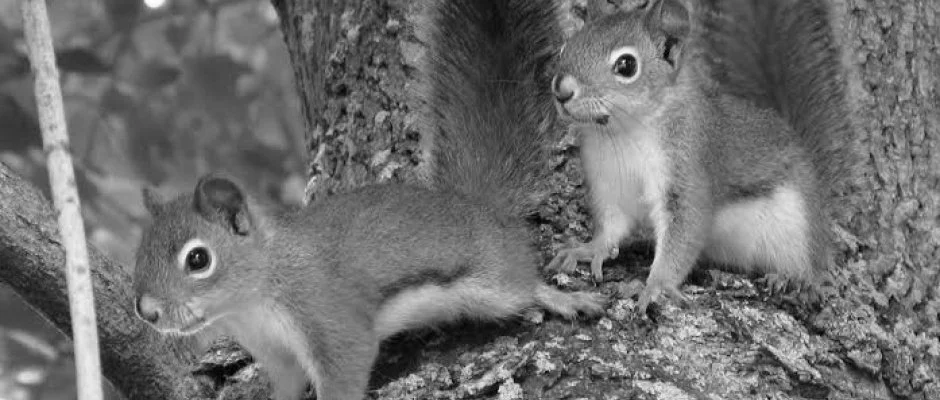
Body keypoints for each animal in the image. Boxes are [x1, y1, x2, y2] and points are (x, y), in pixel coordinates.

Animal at [132, 0, 604, 400]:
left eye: (198, 259)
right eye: (139, 253)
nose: (146, 312)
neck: (254, 296)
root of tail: (478, 205)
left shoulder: (325, 314)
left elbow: (346, 366)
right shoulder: (278, 357)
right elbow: (286, 385)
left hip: (493, 281)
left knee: (523, 285)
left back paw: (563, 298)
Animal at [544, 0, 860, 312]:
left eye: (626, 65)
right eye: (565, 47)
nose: (562, 90)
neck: (625, 134)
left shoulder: (688, 171)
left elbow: (683, 235)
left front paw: (654, 286)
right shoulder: (610, 184)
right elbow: (612, 226)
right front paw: (589, 248)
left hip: (798, 225)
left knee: (812, 263)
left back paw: (793, 278)